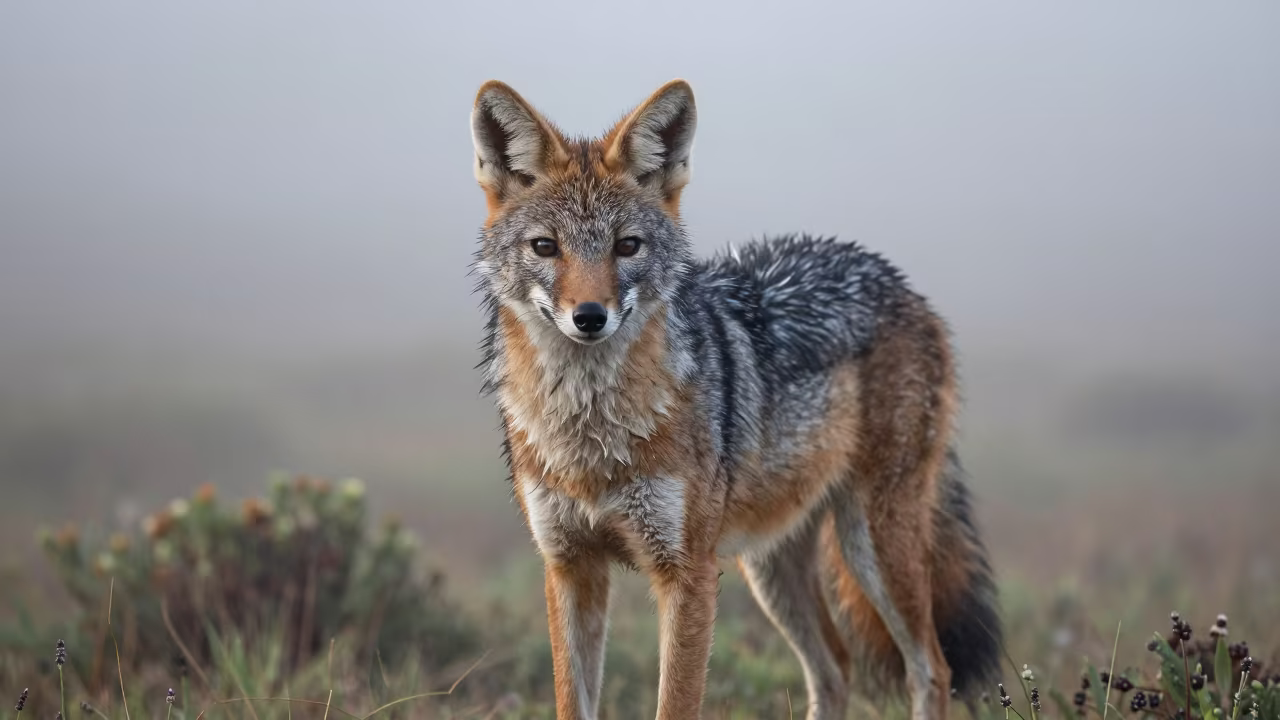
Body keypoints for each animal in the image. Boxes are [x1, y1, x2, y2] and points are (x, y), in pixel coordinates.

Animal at [467, 78, 1001, 720]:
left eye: (627, 246)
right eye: (546, 247)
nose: (590, 317)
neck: (591, 437)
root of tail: (900, 283)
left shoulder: (688, 573)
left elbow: (675, 705)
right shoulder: (570, 567)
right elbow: (573, 703)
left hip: (871, 547)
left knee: (930, 670)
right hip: (770, 570)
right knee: (836, 670)